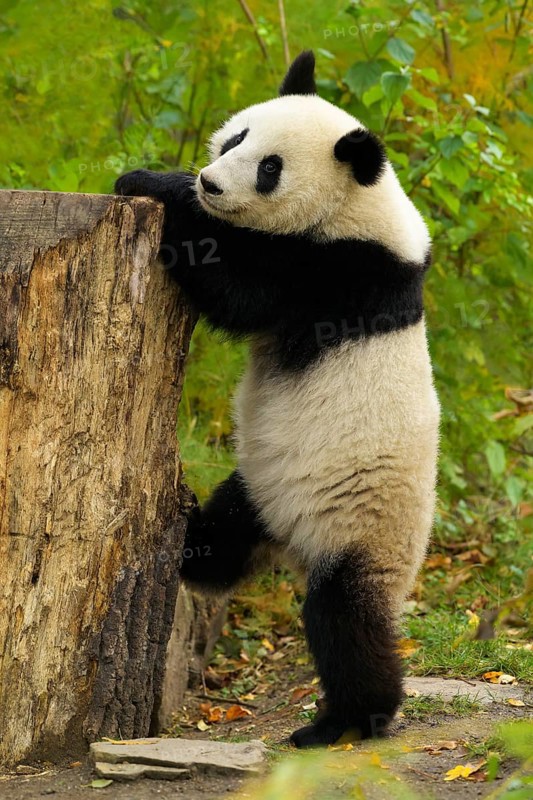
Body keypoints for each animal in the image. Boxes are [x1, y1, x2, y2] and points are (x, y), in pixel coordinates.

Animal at [116, 50, 440, 748]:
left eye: (270, 168)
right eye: (236, 136)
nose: (210, 183)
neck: (359, 205)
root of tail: (291, 542)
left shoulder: (338, 274)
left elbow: (239, 288)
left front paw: (155, 183)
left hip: (363, 528)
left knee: (344, 619)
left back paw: (347, 722)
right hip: (261, 486)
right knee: (226, 539)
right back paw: (189, 537)